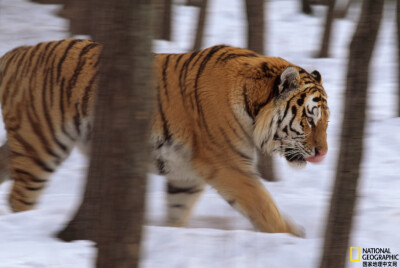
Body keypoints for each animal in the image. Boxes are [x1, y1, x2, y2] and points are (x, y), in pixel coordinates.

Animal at [0, 38, 328, 237]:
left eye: (326, 121)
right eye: (310, 119)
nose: (323, 153)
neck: (252, 106)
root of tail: (13, 53)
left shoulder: (186, 173)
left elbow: (177, 210)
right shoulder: (229, 166)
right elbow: (263, 206)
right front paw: (292, 236)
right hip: (40, 146)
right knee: (19, 197)